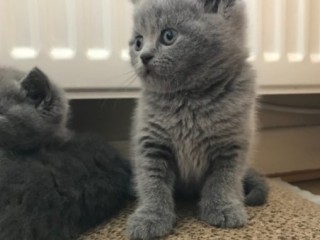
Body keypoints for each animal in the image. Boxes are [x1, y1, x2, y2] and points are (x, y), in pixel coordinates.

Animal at [126, 0, 268, 239]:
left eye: (169, 36)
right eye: (138, 42)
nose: (143, 56)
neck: (189, 98)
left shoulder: (232, 144)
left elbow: (223, 180)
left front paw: (223, 208)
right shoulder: (151, 142)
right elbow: (152, 182)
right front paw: (150, 217)